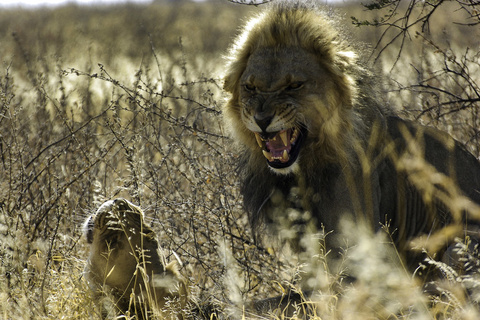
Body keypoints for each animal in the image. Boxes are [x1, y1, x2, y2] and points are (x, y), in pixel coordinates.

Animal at [223, 1, 480, 272]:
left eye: (294, 86)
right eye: (250, 87)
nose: (261, 119)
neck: (306, 168)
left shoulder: (357, 245)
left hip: (459, 245)